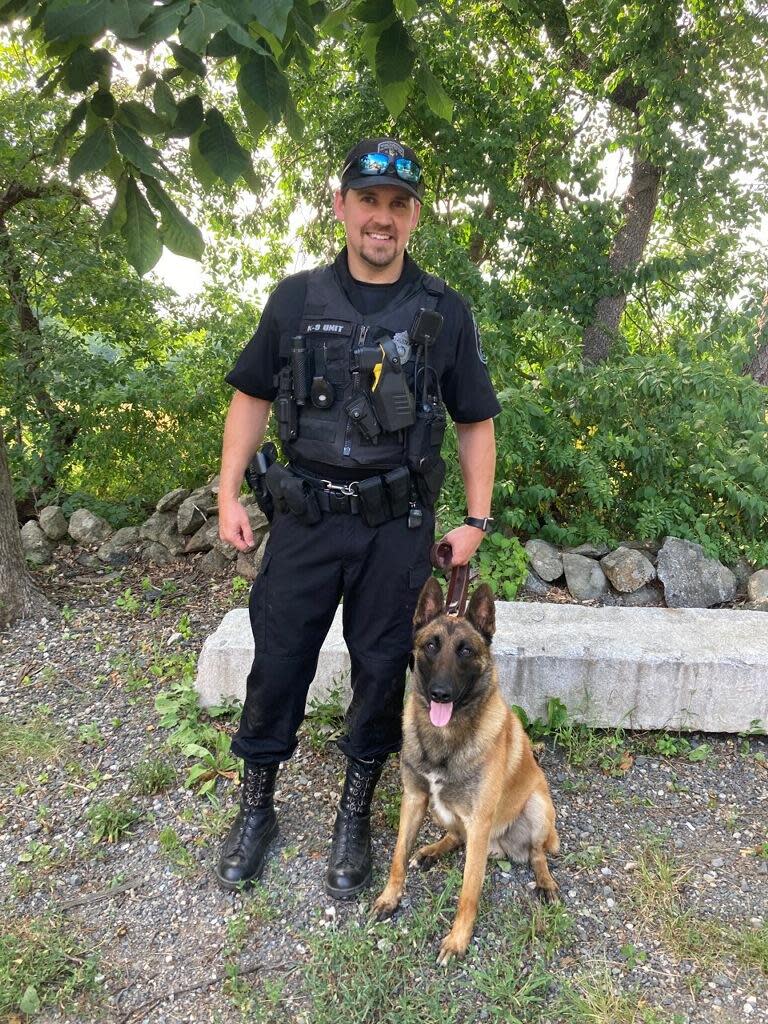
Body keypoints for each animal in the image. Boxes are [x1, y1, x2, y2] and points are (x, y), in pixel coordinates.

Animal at [372, 581, 561, 962]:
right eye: (431, 645)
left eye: (465, 651)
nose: (440, 693)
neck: (445, 739)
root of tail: (502, 847)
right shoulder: (414, 799)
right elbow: (397, 857)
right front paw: (390, 897)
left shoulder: (479, 821)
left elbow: (468, 893)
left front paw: (458, 940)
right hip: (439, 809)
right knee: (455, 836)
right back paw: (430, 851)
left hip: (536, 807)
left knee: (537, 854)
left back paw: (545, 882)